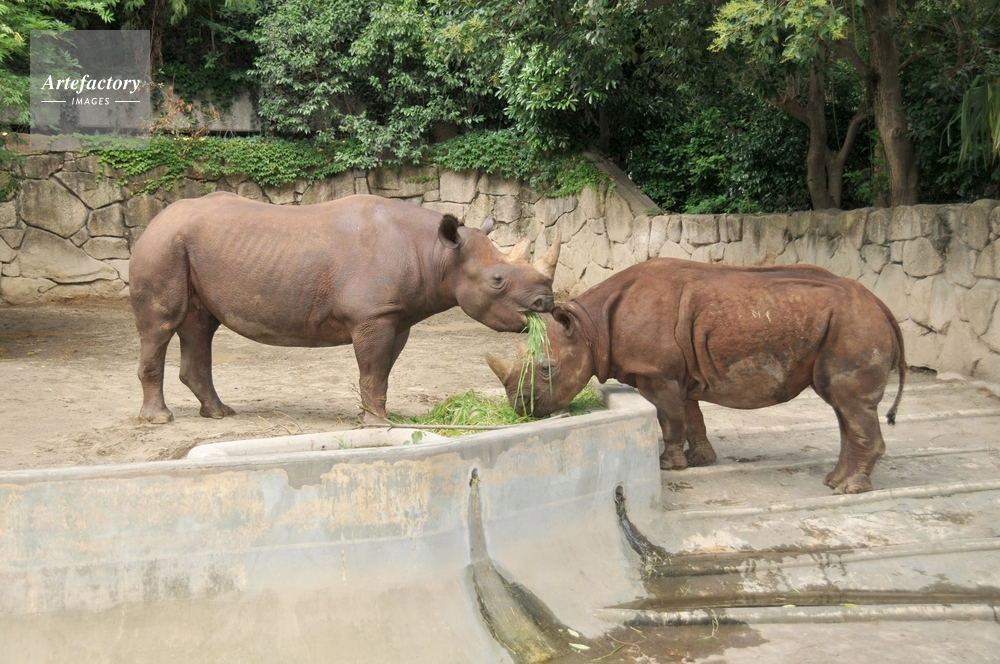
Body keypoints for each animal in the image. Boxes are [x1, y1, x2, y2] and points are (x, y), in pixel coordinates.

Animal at [130, 192, 559, 424]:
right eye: (497, 280)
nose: (547, 302)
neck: (438, 253)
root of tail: (155, 219)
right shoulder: (372, 315)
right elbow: (372, 368)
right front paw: (377, 425)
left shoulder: (395, 315)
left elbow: (381, 371)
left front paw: (377, 417)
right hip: (163, 245)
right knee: (161, 325)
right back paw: (160, 419)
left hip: (185, 245)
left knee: (200, 325)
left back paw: (220, 413)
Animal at [488, 258, 905, 494]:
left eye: (547, 370)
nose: (520, 407)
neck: (590, 328)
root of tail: (883, 306)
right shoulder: (680, 374)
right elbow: (692, 416)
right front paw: (702, 459)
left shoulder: (657, 373)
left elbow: (669, 418)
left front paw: (668, 465)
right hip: (847, 324)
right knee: (843, 407)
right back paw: (835, 482)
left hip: (854, 324)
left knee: (849, 403)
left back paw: (848, 489)